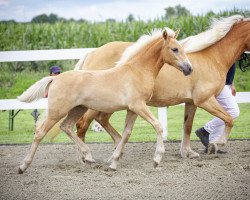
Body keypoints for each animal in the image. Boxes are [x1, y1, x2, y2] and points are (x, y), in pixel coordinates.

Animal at [18, 27, 193, 173]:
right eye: (175, 49)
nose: (189, 68)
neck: (137, 71)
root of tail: (55, 78)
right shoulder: (138, 106)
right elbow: (157, 125)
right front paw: (157, 159)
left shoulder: (132, 109)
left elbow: (126, 134)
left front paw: (114, 163)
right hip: (58, 111)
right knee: (40, 133)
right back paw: (23, 166)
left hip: (78, 109)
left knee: (66, 127)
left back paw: (88, 157)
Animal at [74, 14, 250, 157]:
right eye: (175, 49)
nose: (189, 69)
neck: (211, 57)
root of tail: (91, 53)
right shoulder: (205, 100)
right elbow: (229, 119)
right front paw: (217, 144)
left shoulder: (191, 102)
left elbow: (187, 126)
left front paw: (187, 152)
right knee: (82, 125)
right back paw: (87, 155)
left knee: (100, 120)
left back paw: (117, 146)